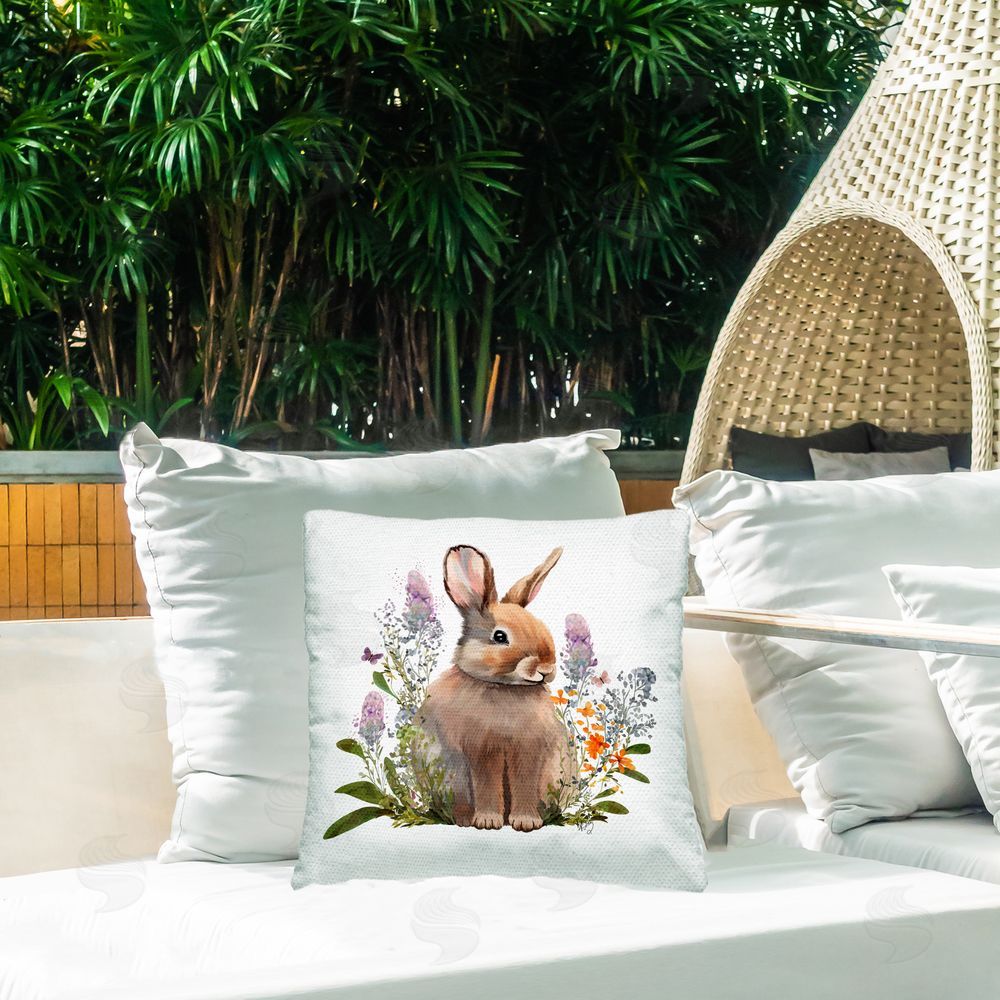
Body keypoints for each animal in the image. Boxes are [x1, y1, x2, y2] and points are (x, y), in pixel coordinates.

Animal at [412, 544, 574, 832]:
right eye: (500, 637)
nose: (546, 669)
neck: (503, 687)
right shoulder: (482, 749)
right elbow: (487, 784)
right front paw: (488, 821)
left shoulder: (529, 748)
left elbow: (524, 782)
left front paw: (525, 822)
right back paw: (464, 819)